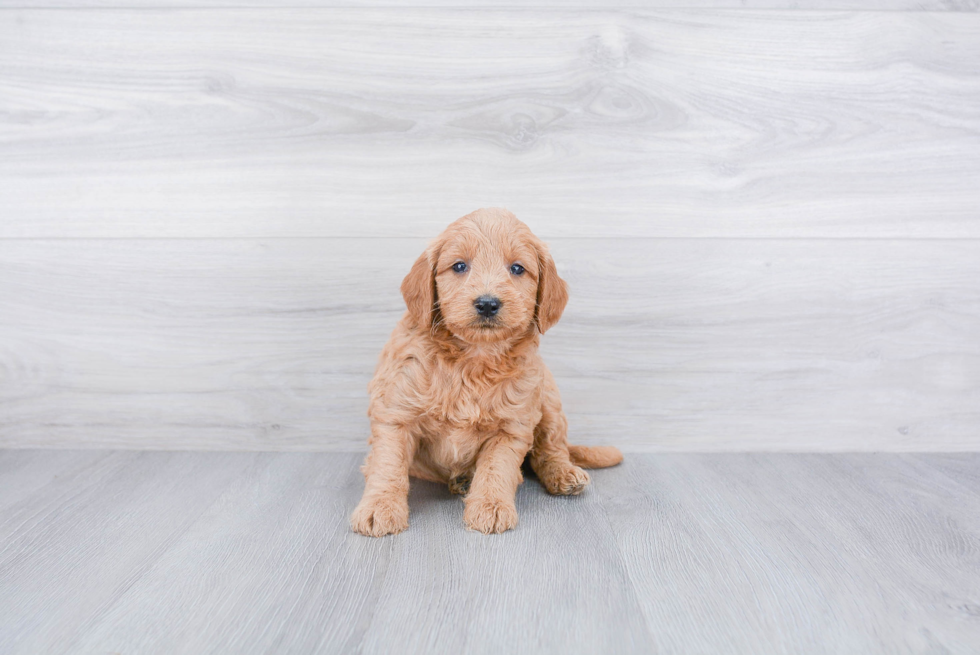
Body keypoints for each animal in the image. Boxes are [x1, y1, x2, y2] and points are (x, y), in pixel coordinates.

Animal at [350, 210, 620, 540]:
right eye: (459, 266)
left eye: (517, 268)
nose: (488, 303)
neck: (472, 359)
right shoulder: (396, 412)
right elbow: (388, 465)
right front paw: (380, 507)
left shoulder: (511, 426)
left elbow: (496, 469)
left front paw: (490, 506)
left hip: (549, 398)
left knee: (551, 447)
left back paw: (563, 473)